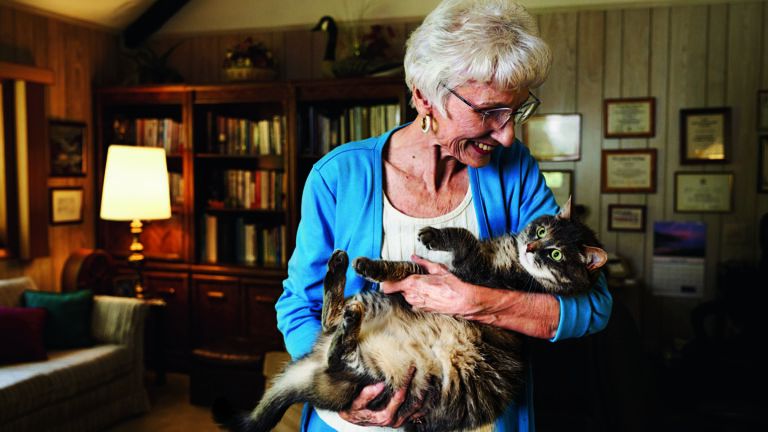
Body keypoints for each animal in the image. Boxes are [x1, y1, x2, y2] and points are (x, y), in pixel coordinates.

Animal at [214, 198, 608, 432]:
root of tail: (316, 373)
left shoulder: (475, 274)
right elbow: (408, 266)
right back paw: (341, 271)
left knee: (337, 348)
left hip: (380, 377)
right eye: (541, 230)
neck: (510, 259)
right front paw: (378, 262)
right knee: (331, 318)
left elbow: (463, 238)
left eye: (556, 254)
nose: (532, 247)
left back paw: (347, 323)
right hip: (377, 304)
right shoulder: (442, 270)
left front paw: (432, 236)